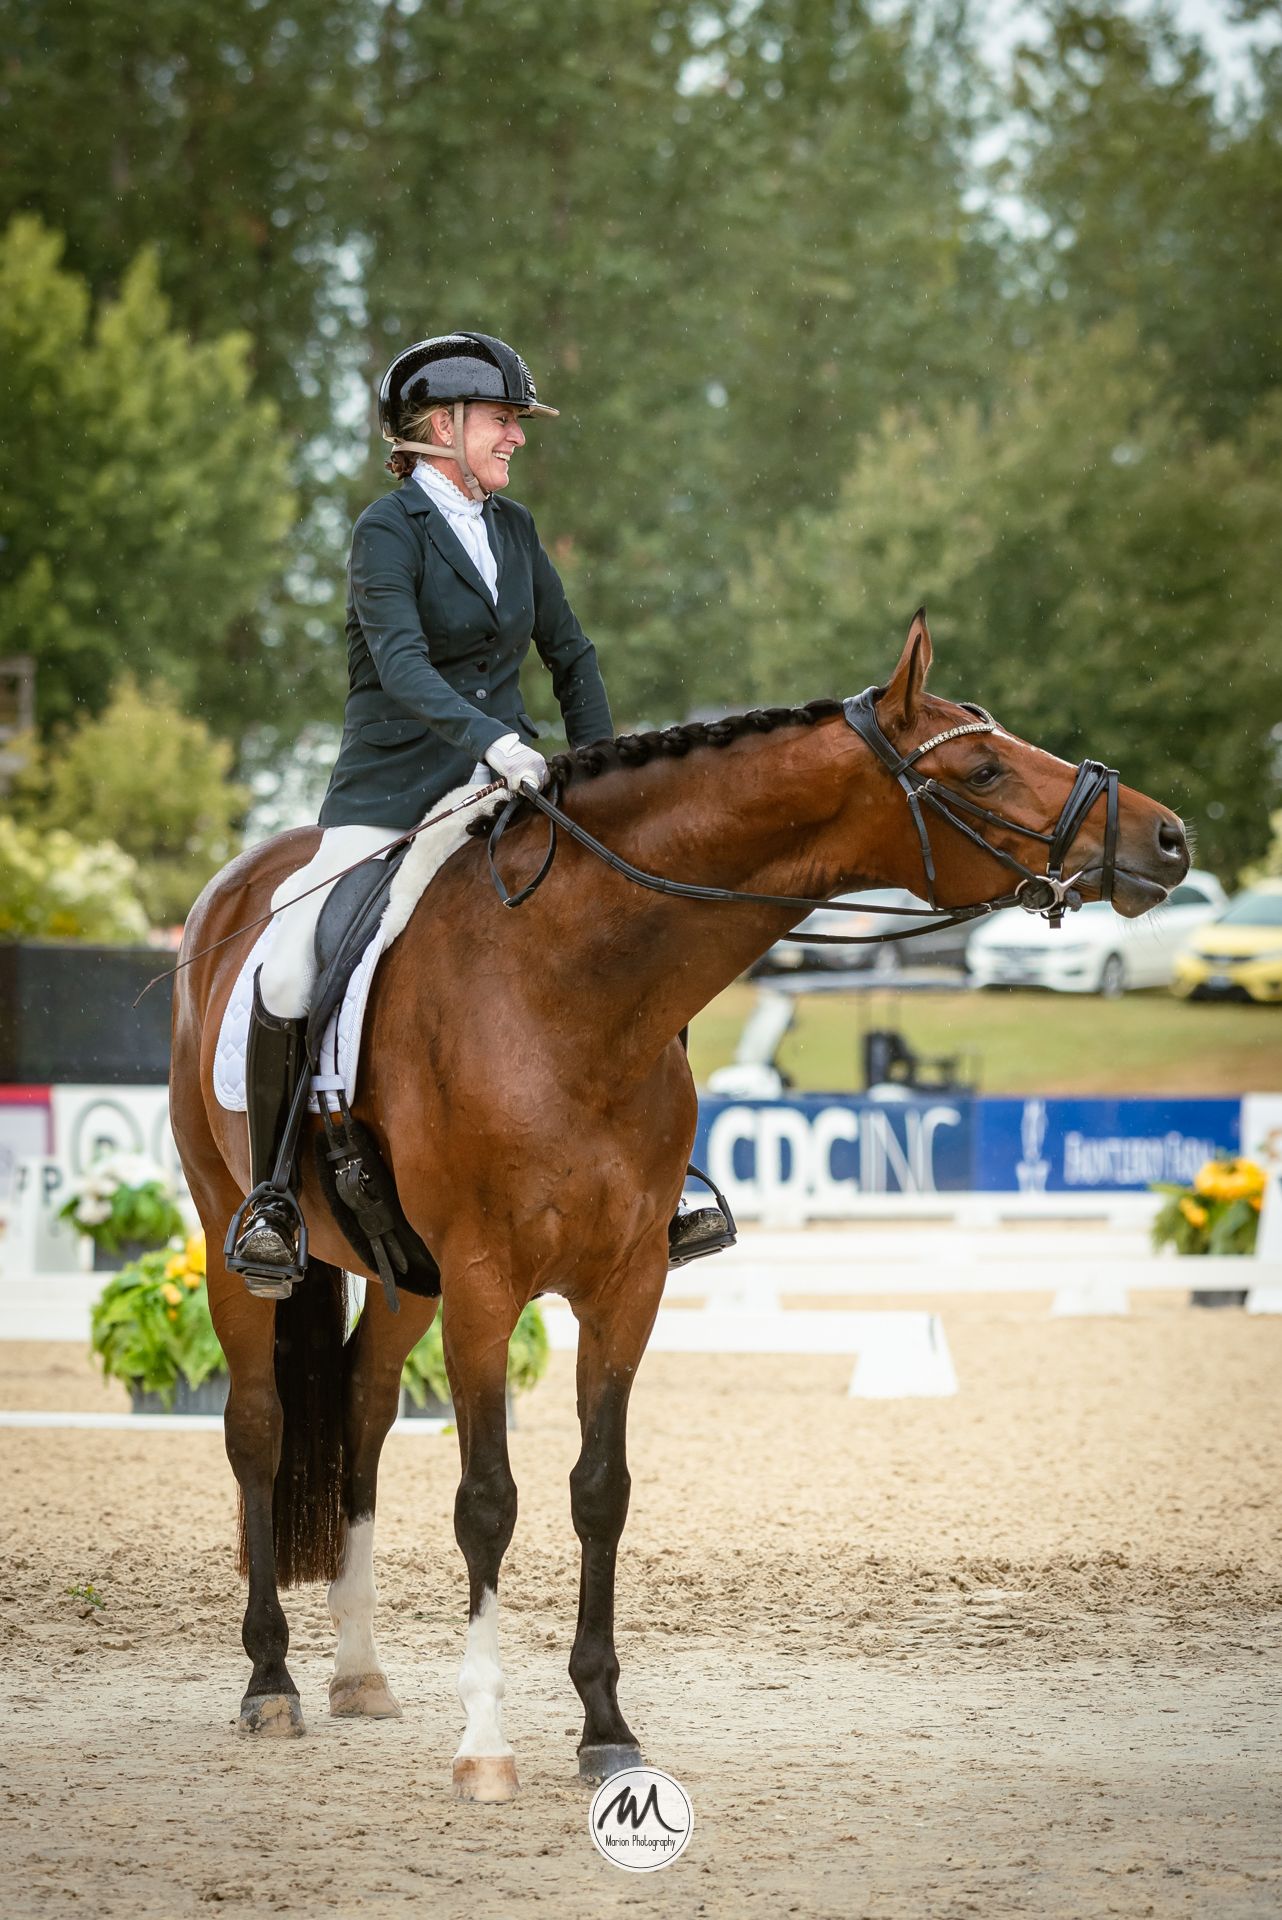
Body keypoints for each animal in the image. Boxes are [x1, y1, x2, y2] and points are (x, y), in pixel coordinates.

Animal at [168, 612, 1189, 1800]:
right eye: (981, 767)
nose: (1168, 839)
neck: (568, 985)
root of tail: (239, 880)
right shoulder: (484, 1283)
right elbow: (487, 1501)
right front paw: (486, 1746)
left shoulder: (627, 1282)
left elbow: (598, 1490)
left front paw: (605, 1728)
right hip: (230, 1232)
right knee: (258, 1426)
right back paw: (271, 1681)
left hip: (401, 1274)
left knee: (365, 1412)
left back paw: (360, 1673)